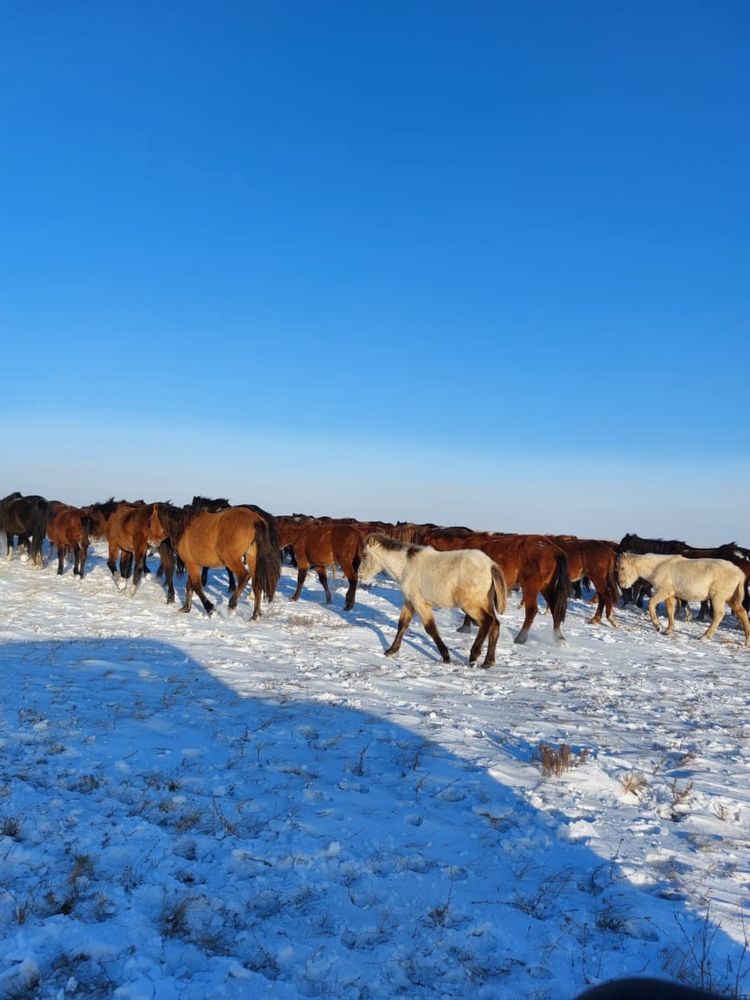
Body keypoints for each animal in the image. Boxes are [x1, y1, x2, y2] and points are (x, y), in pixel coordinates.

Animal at [147, 508, 280, 616]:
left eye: (152, 520)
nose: (149, 542)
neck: (184, 528)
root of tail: (255, 519)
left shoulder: (191, 564)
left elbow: (196, 586)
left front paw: (209, 608)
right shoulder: (195, 564)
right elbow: (190, 585)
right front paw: (186, 608)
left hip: (231, 560)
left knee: (244, 576)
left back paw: (232, 604)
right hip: (252, 558)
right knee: (256, 585)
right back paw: (255, 614)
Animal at [360, 536, 512, 668]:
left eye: (365, 555)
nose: (360, 575)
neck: (406, 566)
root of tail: (491, 565)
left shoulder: (420, 604)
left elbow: (430, 629)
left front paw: (446, 657)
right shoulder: (409, 602)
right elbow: (402, 625)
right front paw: (391, 650)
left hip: (470, 604)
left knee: (487, 621)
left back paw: (474, 656)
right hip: (484, 602)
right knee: (495, 624)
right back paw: (488, 662)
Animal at [420, 528, 572, 644]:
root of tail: (553, 549)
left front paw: (467, 625)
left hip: (531, 587)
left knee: (532, 610)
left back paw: (521, 637)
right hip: (546, 587)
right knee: (555, 607)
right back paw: (558, 637)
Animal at [616, 552, 750, 644]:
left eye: (622, 568)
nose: (622, 585)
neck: (659, 566)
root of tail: (739, 572)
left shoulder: (664, 591)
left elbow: (651, 603)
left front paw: (657, 626)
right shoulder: (670, 595)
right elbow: (670, 611)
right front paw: (668, 630)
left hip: (718, 597)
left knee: (719, 615)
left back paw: (705, 636)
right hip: (730, 599)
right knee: (742, 613)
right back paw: (747, 642)